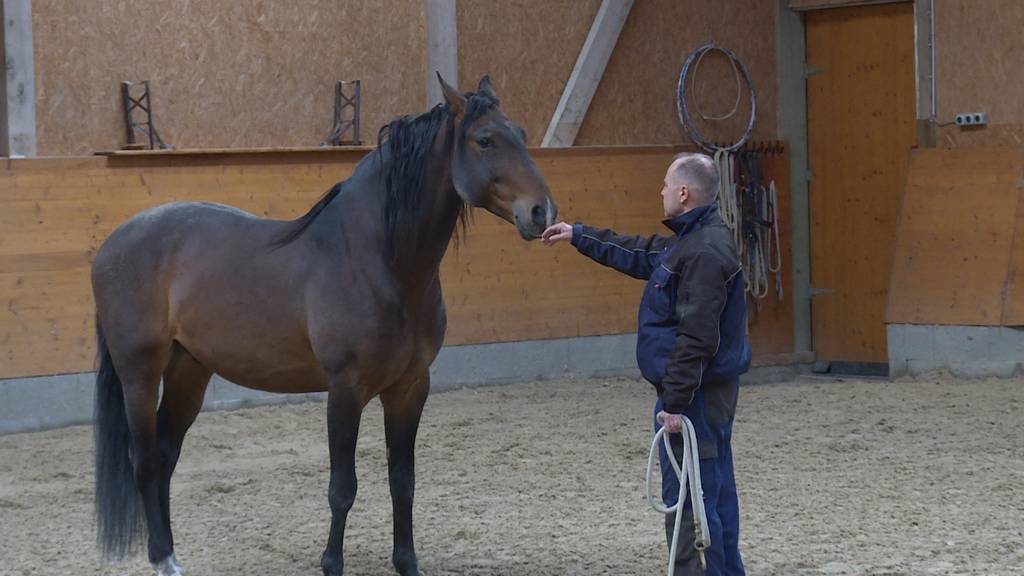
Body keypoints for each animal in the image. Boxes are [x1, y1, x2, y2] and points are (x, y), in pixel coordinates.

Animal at [91, 75, 557, 573]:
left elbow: (403, 482)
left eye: (521, 134)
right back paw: (162, 558)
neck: (379, 262)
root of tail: (113, 243)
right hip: (139, 372)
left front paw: (406, 562)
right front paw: (332, 562)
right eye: (484, 140)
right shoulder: (345, 389)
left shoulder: (411, 387)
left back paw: (171, 555)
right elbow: (342, 487)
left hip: (189, 371)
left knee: (164, 453)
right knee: (144, 460)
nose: (542, 213)